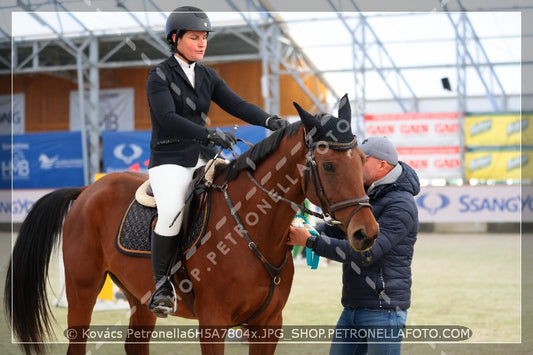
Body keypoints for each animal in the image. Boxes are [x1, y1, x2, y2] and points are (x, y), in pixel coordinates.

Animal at [4, 97, 378, 355]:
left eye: (362, 160)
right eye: (328, 166)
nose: (366, 233)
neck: (252, 229)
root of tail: (86, 191)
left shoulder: (268, 325)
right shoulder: (213, 323)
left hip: (138, 297)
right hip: (83, 287)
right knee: (78, 343)